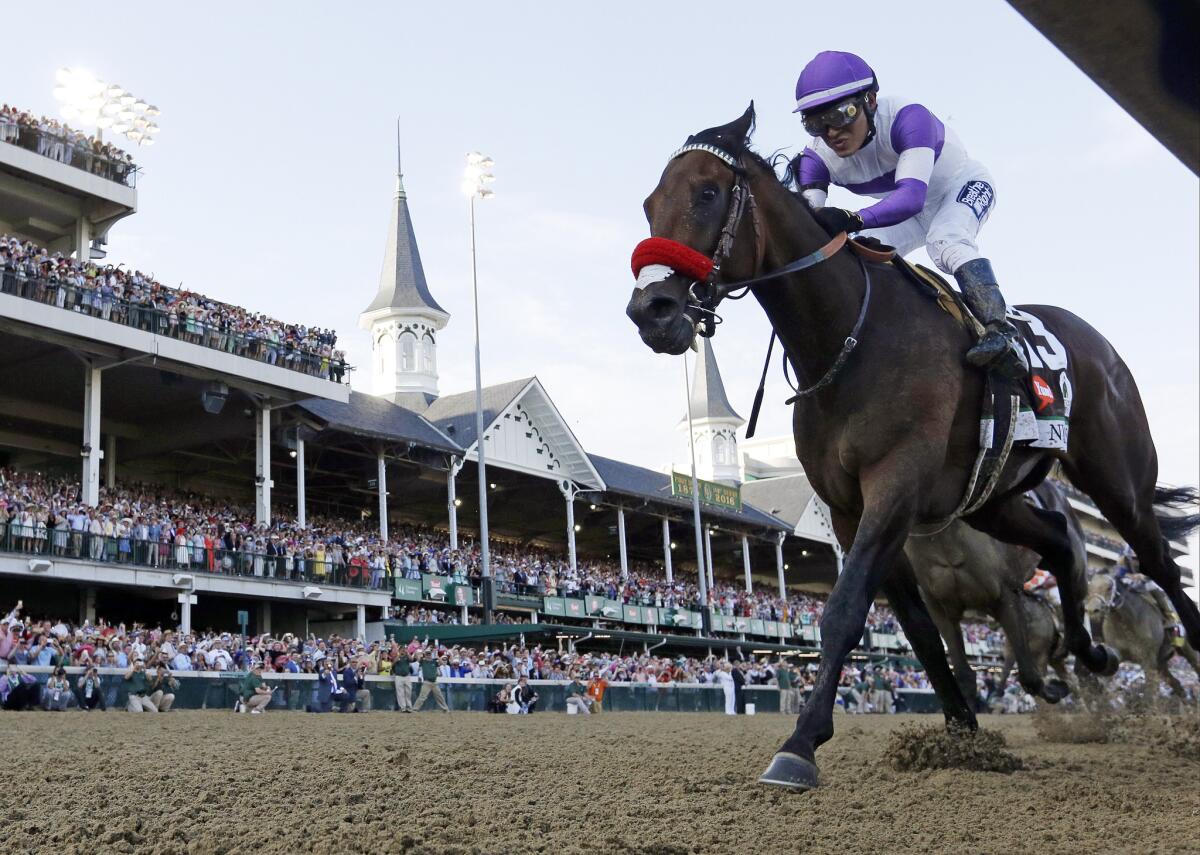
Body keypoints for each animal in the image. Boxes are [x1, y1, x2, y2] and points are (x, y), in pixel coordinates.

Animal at [624, 106, 1195, 792]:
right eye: (650, 203)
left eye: (708, 193)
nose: (651, 310)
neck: (848, 338)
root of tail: (1093, 339)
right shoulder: (850, 509)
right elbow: (922, 630)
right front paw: (962, 732)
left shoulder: (895, 485)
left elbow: (845, 612)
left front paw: (798, 745)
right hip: (994, 499)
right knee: (1060, 541)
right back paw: (1090, 650)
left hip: (1118, 479)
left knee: (1160, 563)